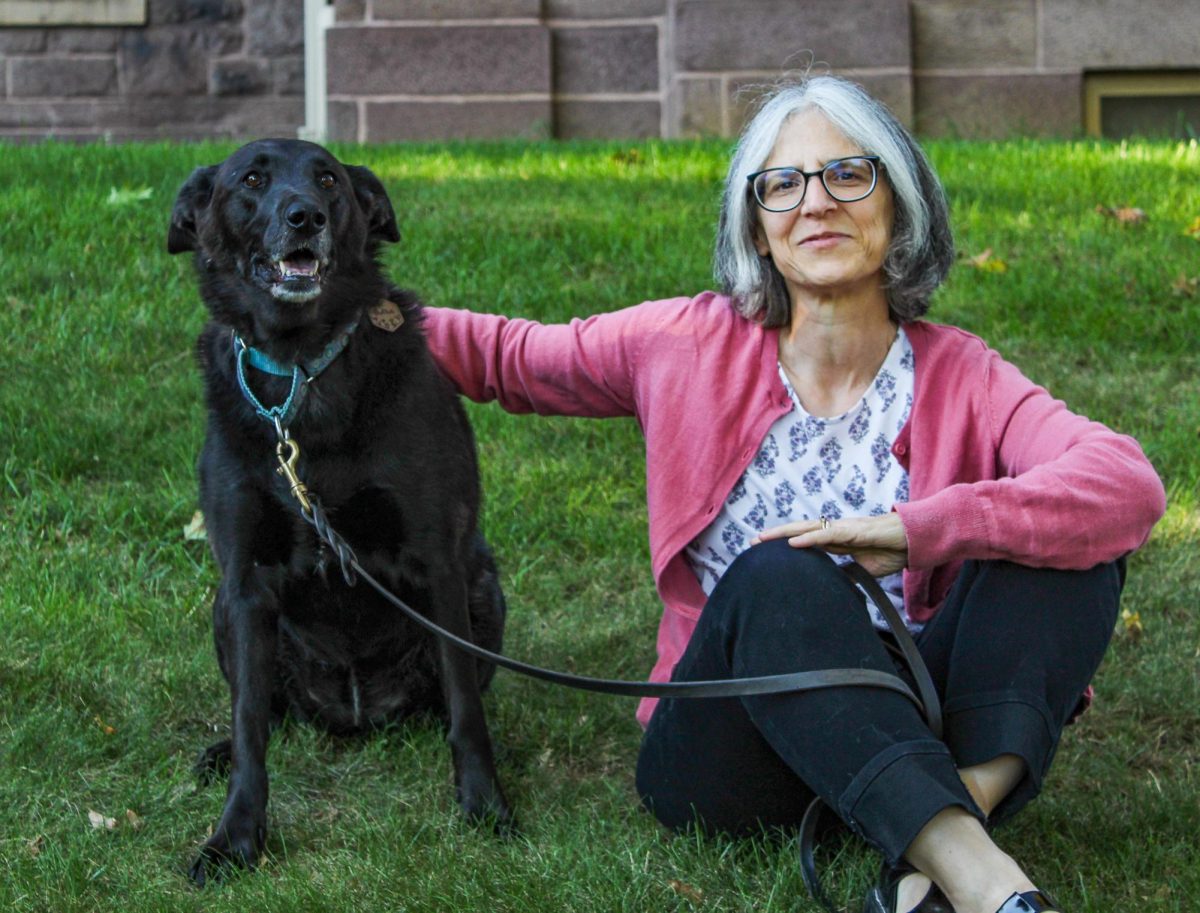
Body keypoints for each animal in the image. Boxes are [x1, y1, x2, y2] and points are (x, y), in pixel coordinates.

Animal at [165, 139, 511, 878]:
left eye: (327, 178)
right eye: (252, 179)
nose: (306, 216)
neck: (301, 370)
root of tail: (354, 714)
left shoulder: (439, 561)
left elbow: (466, 708)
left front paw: (485, 803)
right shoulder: (244, 581)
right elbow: (249, 726)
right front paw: (235, 837)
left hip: (484, 582)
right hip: (222, 612)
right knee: (266, 711)